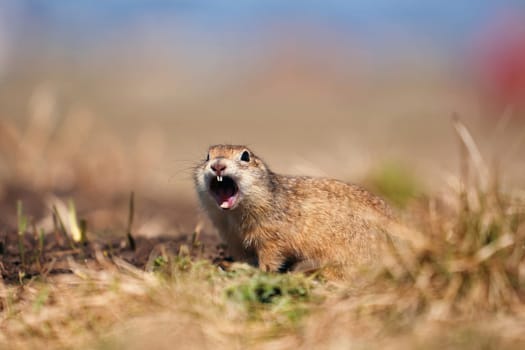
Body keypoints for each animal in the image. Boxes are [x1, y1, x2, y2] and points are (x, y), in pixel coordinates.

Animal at [193, 143, 422, 278]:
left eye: (245, 156)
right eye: (207, 156)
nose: (218, 165)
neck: (232, 217)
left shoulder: (272, 236)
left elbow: (271, 256)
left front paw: (262, 271)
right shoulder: (234, 240)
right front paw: (232, 265)